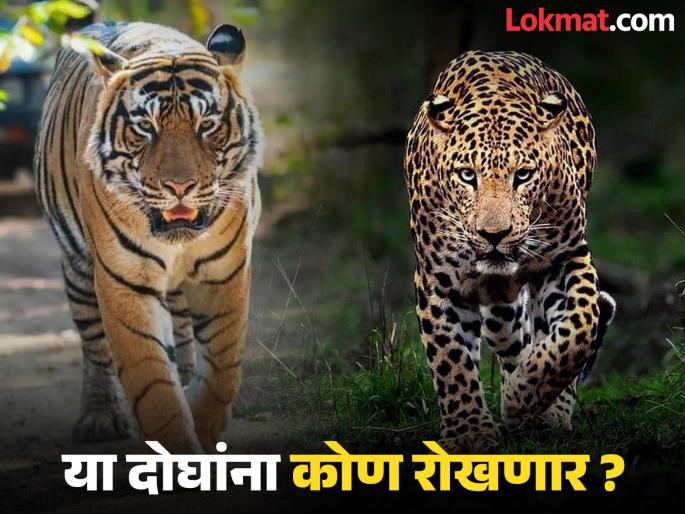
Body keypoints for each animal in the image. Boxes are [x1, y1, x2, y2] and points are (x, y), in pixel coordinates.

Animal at [34, 21, 262, 453]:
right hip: (78, 268)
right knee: (95, 345)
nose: (179, 186)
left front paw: (204, 422)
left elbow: (224, 363)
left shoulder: (223, 272)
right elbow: (152, 382)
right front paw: (177, 445)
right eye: (145, 128)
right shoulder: (126, 281)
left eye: (206, 126)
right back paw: (100, 416)